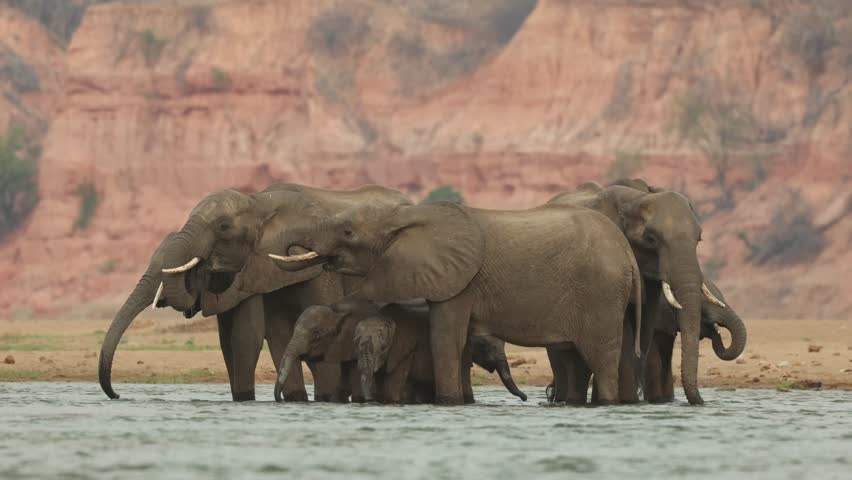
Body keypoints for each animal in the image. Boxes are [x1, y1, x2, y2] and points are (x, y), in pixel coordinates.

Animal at [98, 183, 411, 402]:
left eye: (223, 227)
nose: (117, 395)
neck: (258, 202)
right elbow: (261, 336)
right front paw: (283, 400)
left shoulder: (319, 268)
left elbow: (249, 336)